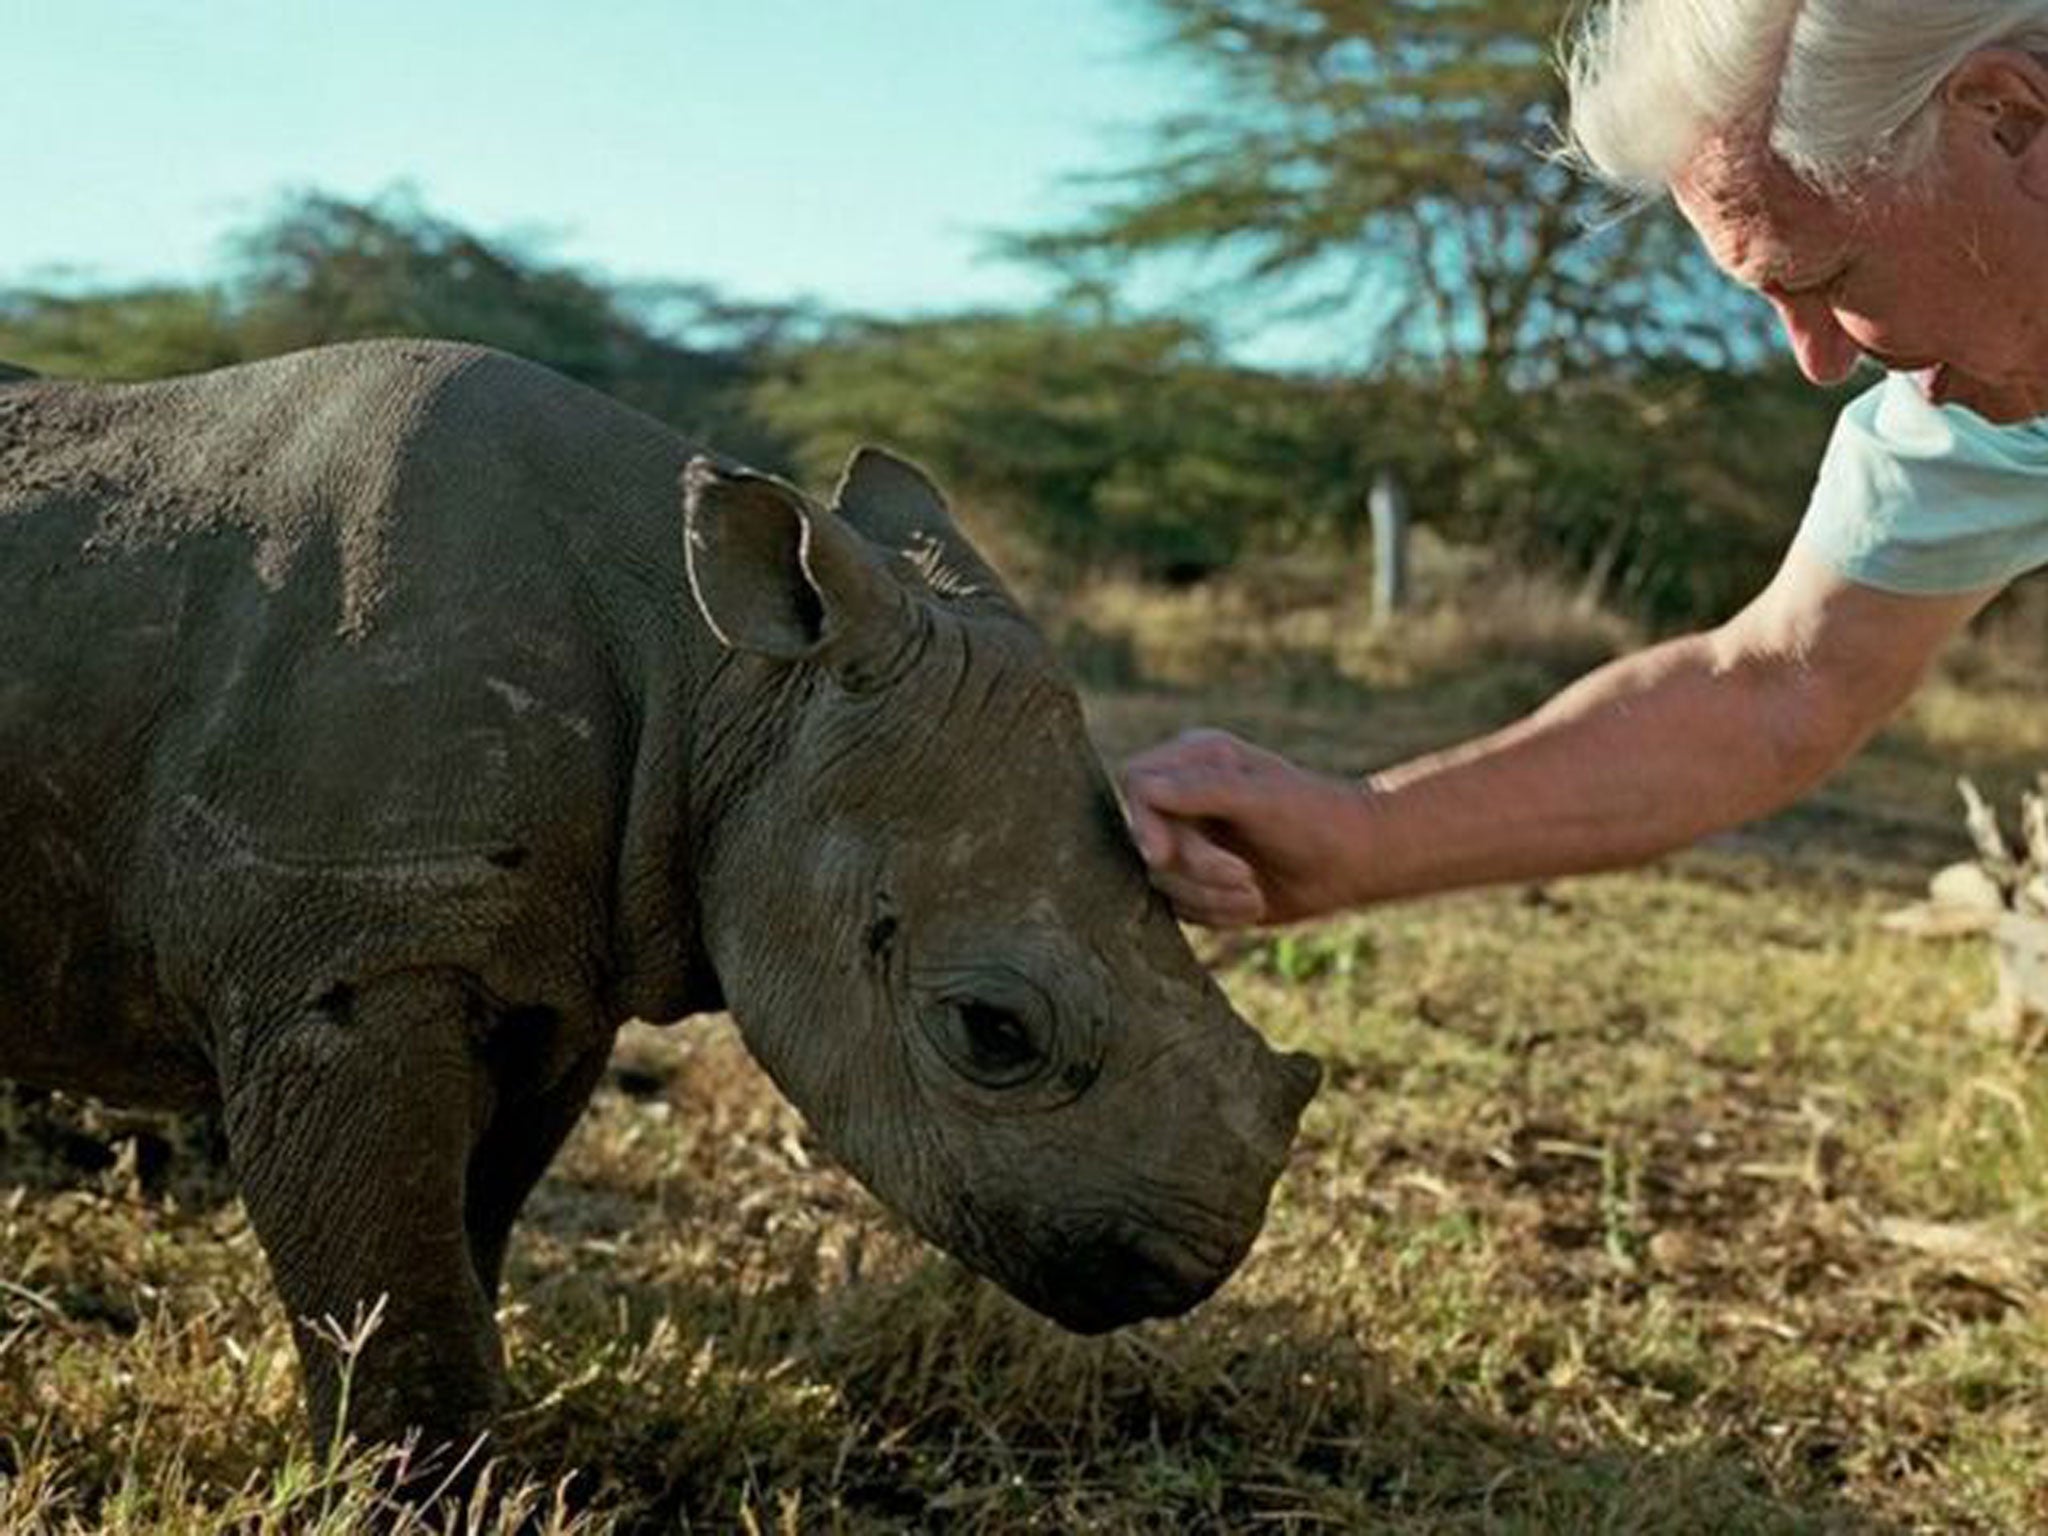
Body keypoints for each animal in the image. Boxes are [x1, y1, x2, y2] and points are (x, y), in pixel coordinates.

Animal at [0, 339, 1310, 1458]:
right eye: (991, 1032)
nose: (1200, 1261)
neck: (721, 679)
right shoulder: (348, 969)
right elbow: (392, 1278)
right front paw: (414, 1485)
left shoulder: (554, 974)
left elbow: (468, 1231)